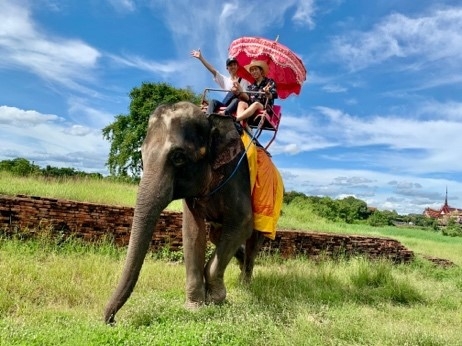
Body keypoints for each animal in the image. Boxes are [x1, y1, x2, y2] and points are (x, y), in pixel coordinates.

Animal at [103, 101, 268, 324]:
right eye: (142, 157)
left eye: (178, 157)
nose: (112, 321)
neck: (212, 121)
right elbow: (192, 231)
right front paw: (195, 308)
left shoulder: (237, 175)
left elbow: (243, 222)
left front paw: (216, 300)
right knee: (219, 237)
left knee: (252, 241)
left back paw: (245, 283)